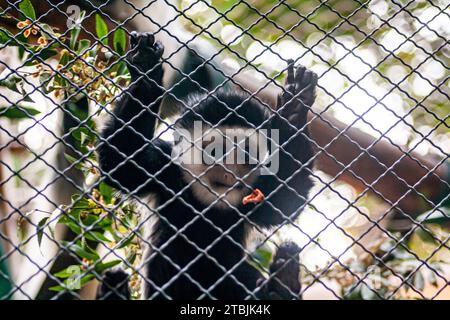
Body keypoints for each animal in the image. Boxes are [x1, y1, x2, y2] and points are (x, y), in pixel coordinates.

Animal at [98, 32, 316, 300]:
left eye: (246, 154)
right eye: (215, 152)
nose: (228, 173)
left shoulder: (254, 195)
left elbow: (287, 199)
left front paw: (296, 106)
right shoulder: (164, 166)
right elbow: (120, 161)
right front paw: (145, 66)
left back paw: (282, 283)